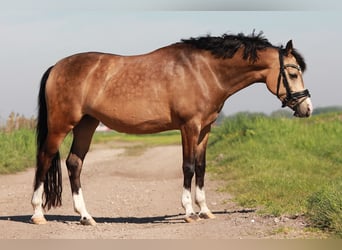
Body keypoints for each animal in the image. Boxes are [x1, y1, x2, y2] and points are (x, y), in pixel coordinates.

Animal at [30, 32, 312, 226]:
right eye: (293, 73)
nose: (307, 108)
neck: (204, 71)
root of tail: (56, 67)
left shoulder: (205, 129)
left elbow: (201, 167)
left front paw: (205, 210)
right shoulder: (189, 126)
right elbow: (187, 166)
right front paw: (189, 212)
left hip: (87, 124)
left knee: (74, 163)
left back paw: (85, 216)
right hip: (61, 126)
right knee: (44, 159)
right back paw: (37, 214)